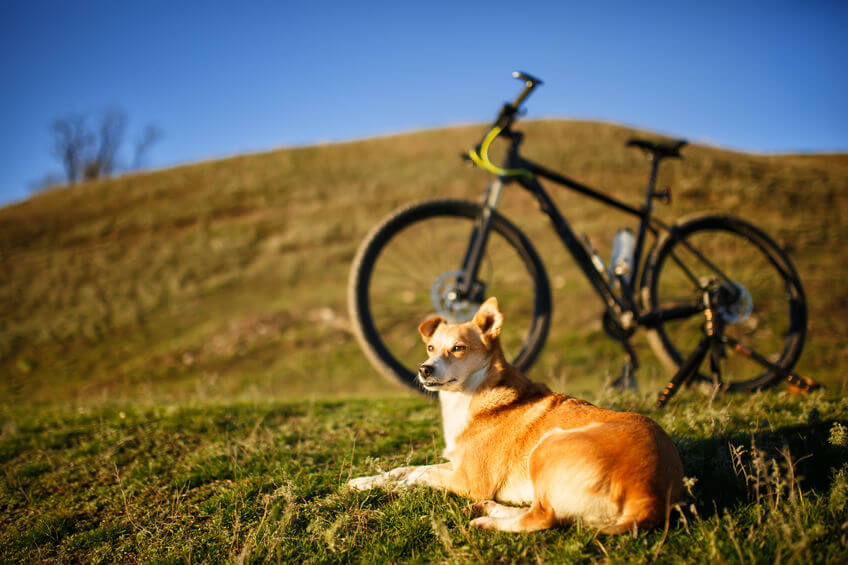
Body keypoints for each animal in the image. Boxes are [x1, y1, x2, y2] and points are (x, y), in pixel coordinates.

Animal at [348, 298, 684, 532]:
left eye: (458, 348)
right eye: (430, 347)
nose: (424, 369)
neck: (470, 397)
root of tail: (649, 496)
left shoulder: (469, 480)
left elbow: (418, 474)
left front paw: (395, 487)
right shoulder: (456, 466)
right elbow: (407, 468)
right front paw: (365, 481)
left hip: (546, 447)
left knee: (541, 519)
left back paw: (490, 521)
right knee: (542, 511)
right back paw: (489, 510)